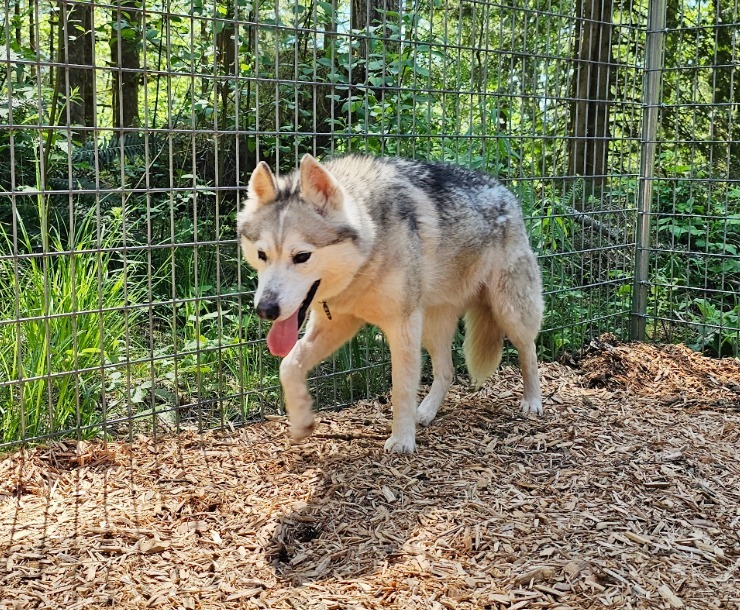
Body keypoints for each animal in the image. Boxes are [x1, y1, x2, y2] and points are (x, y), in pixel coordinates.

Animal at [237, 154, 544, 452]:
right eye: (262, 255)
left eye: (301, 256)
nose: (265, 310)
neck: (370, 254)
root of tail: (505, 191)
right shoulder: (336, 324)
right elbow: (288, 366)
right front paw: (302, 421)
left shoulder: (402, 326)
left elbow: (402, 388)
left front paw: (402, 441)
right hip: (432, 328)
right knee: (447, 371)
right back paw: (426, 412)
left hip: (509, 312)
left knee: (529, 351)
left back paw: (532, 402)